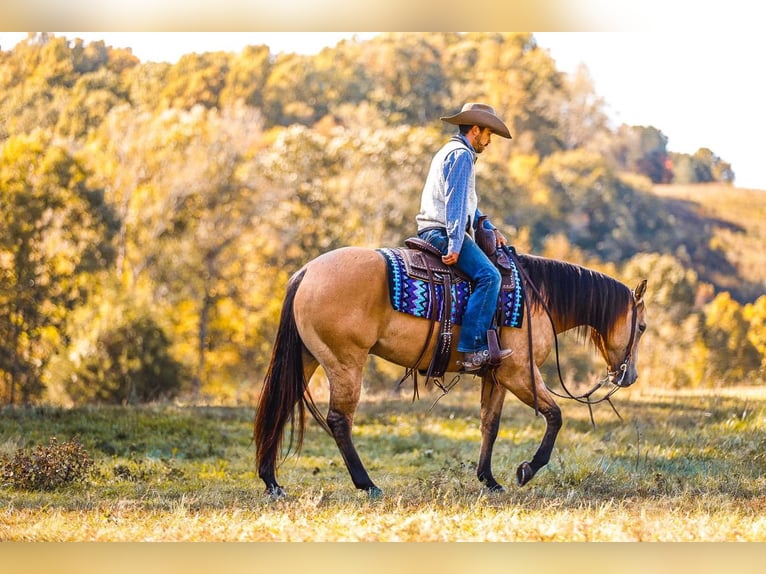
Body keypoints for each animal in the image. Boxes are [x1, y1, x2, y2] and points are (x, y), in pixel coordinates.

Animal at [256, 244, 648, 500]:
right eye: (642, 327)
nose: (628, 377)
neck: (538, 297)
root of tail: (306, 273)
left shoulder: (496, 376)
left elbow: (490, 425)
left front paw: (489, 480)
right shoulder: (520, 373)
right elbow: (555, 416)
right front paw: (527, 469)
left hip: (307, 357)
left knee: (280, 407)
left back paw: (272, 481)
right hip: (345, 361)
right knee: (339, 420)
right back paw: (367, 484)